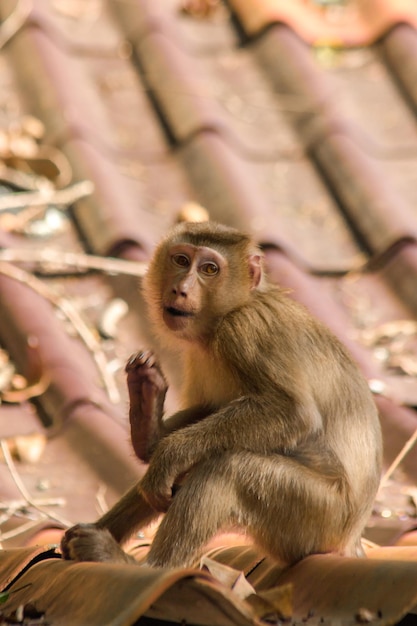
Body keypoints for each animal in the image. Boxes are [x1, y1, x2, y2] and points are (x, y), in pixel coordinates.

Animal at [60, 222, 382, 568]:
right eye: (181, 260)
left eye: (209, 269)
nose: (180, 289)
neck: (234, 309)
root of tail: (350, 538)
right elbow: (211, 408)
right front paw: (153, 431)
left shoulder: (243, 330)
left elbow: (292, 412)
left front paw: (168, 452)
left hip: (318, 518)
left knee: (228, 468)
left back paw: (143, 564)